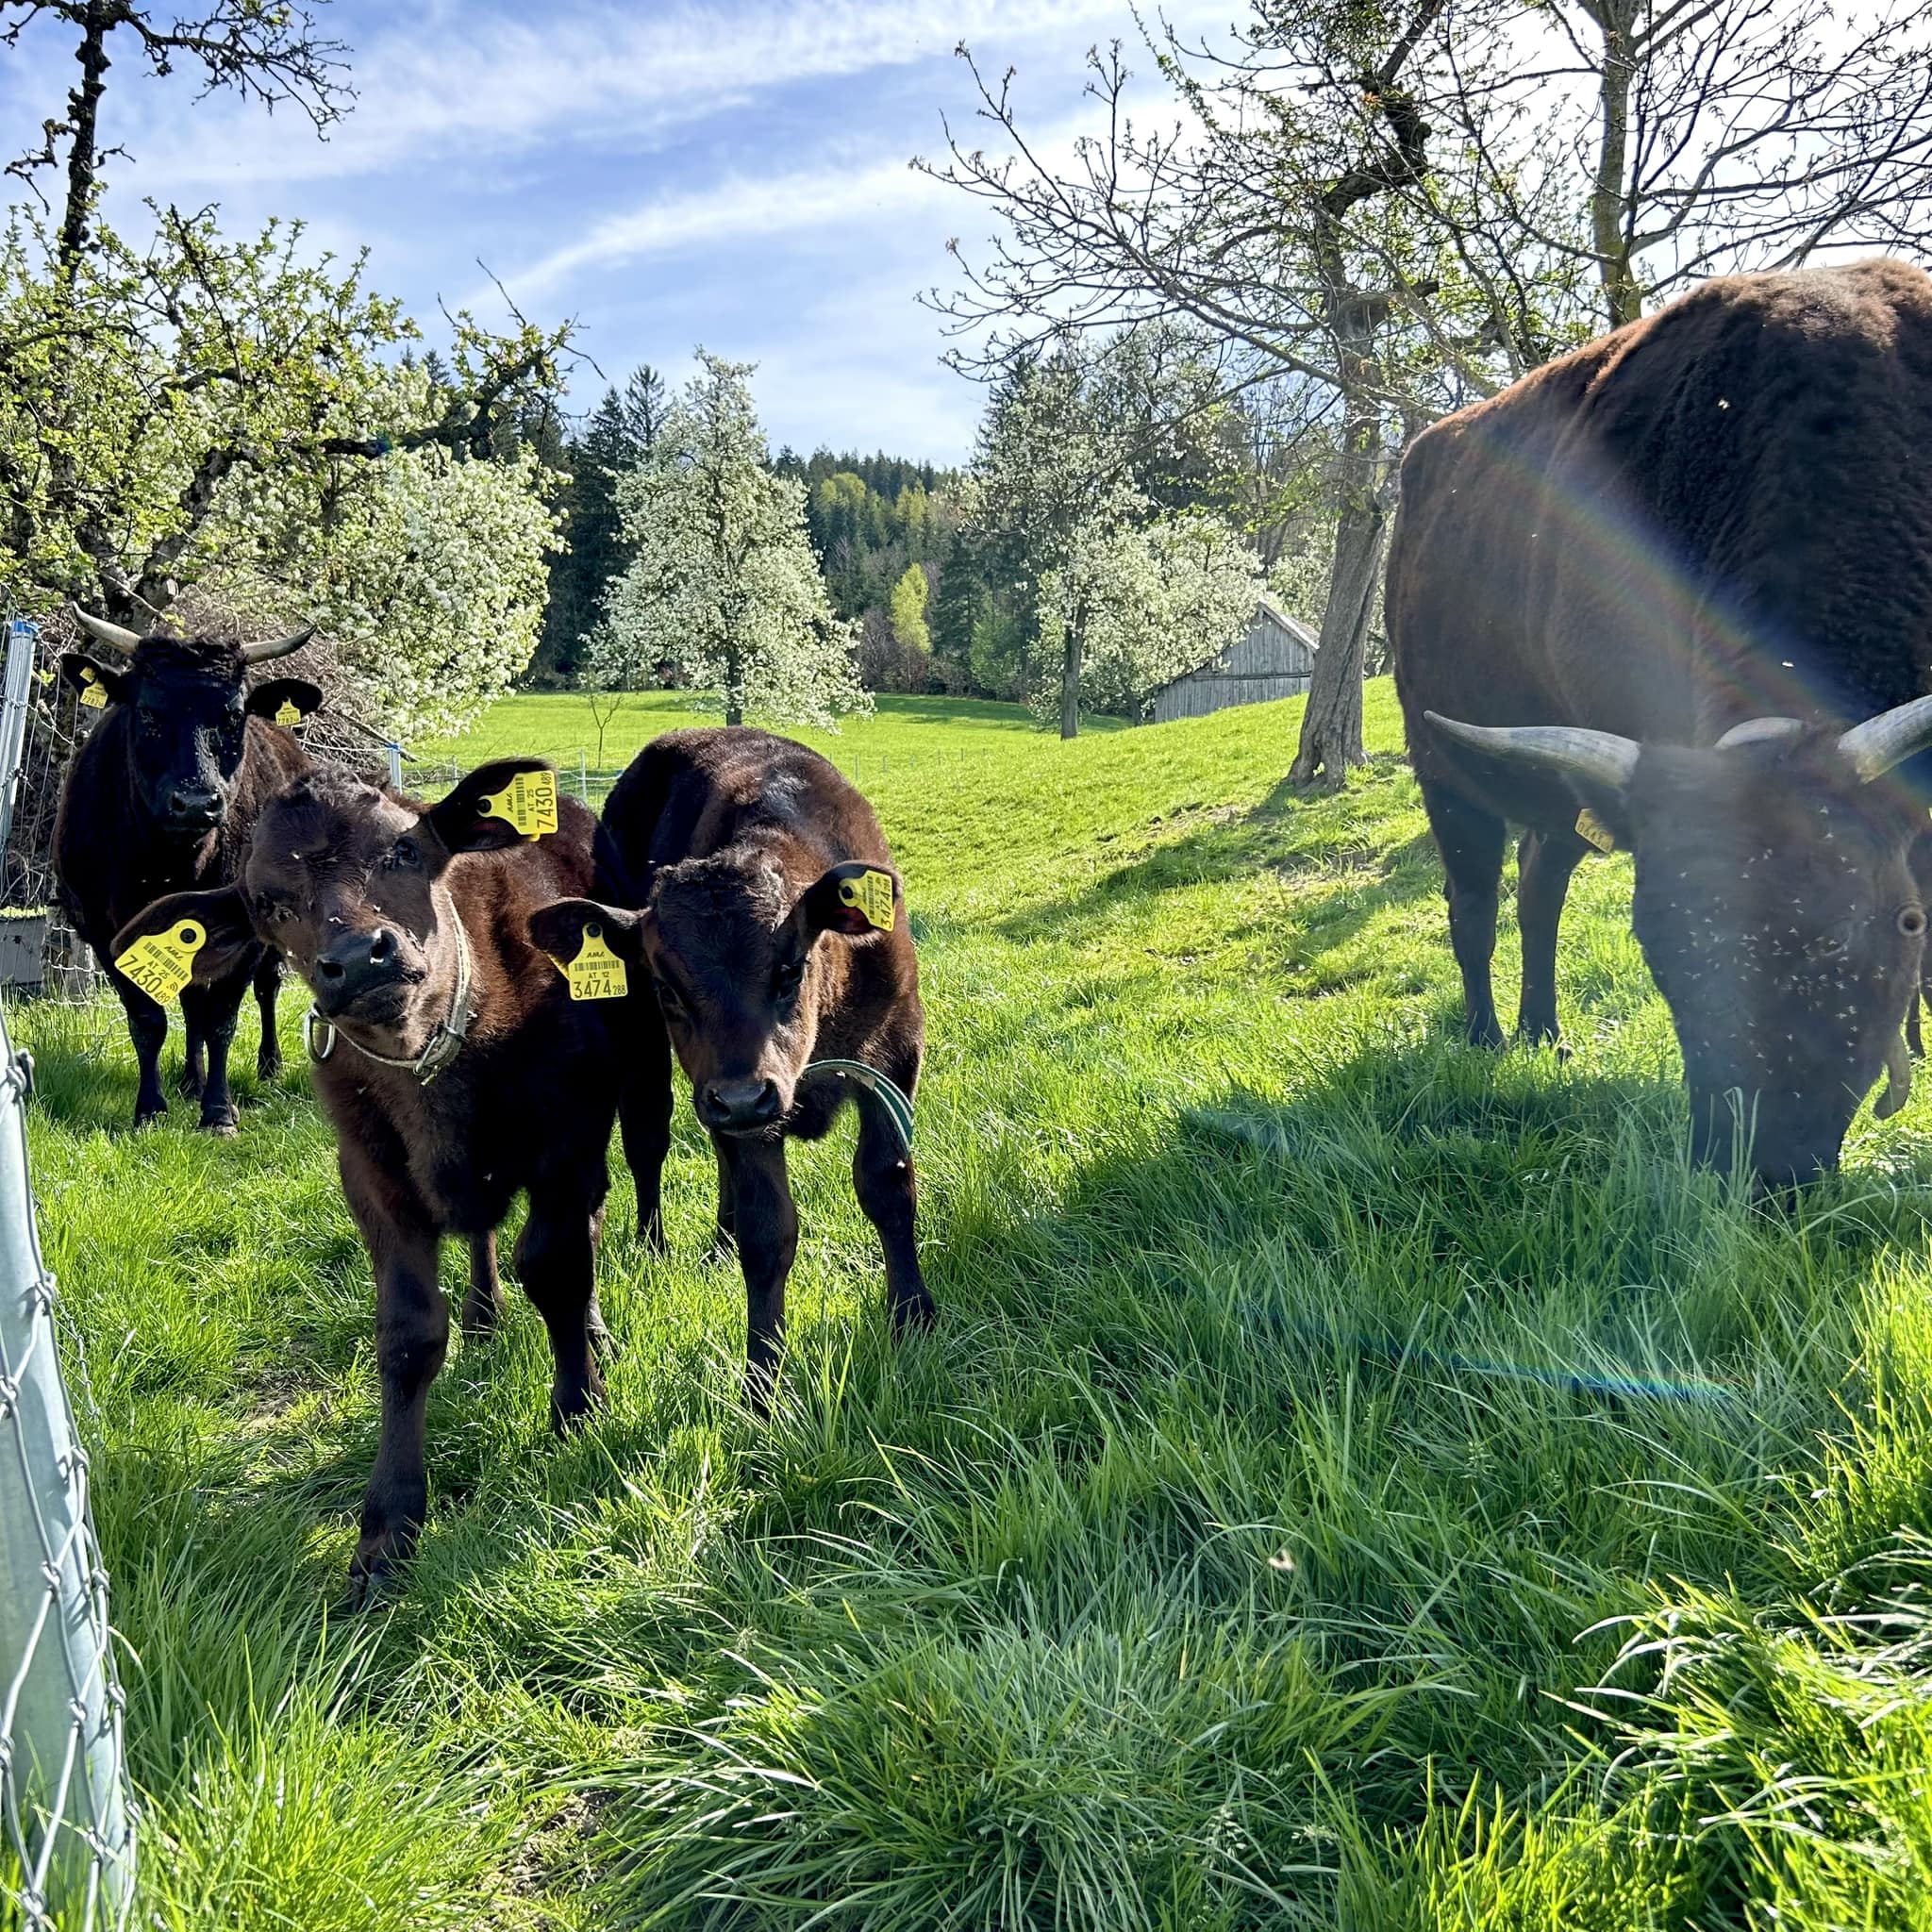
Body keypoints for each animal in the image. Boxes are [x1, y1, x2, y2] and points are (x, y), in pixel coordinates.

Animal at [53, 611, 322, 1132]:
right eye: (147, 713)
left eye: (234, 715)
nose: (197, 802)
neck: (171, 863)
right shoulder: (103, 930)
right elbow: (149, 1020)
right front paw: (151, 1107)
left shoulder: (249, 933)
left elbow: (222, 1018)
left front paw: (218, 1112)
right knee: (191, 1001)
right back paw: (189, 1081)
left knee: (265, 988)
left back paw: (267, 1066)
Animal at [112, 759, 626, 1603]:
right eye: (268, 903)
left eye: (404, 850)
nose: (358, 958)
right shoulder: (371, 1178)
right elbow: (408, 1336)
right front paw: (387, 1530)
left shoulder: (571, 1140)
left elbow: (556, 1269)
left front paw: (578, 1409)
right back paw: (484, 1314)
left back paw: (591, 1334)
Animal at [528, 726, 933, 1397]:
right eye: (667, 987)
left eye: (791, 968)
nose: (743, 1097)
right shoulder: (738, 1102)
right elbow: (768, 1232)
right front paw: (763, 1379)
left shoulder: (897, 1052)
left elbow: (886, 1184)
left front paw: (913, 1315)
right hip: (659, 1062)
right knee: (650, 1142)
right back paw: (660, 1245)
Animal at [1388, 258, 1932, 1188]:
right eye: (1658, 944)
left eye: (1889, 926)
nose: (1762, 1171)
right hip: (1446, 774)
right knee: (1475, 906)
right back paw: (1488, 1037)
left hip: (1560, 801)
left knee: (1538, 890)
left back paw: (1544, 1031)